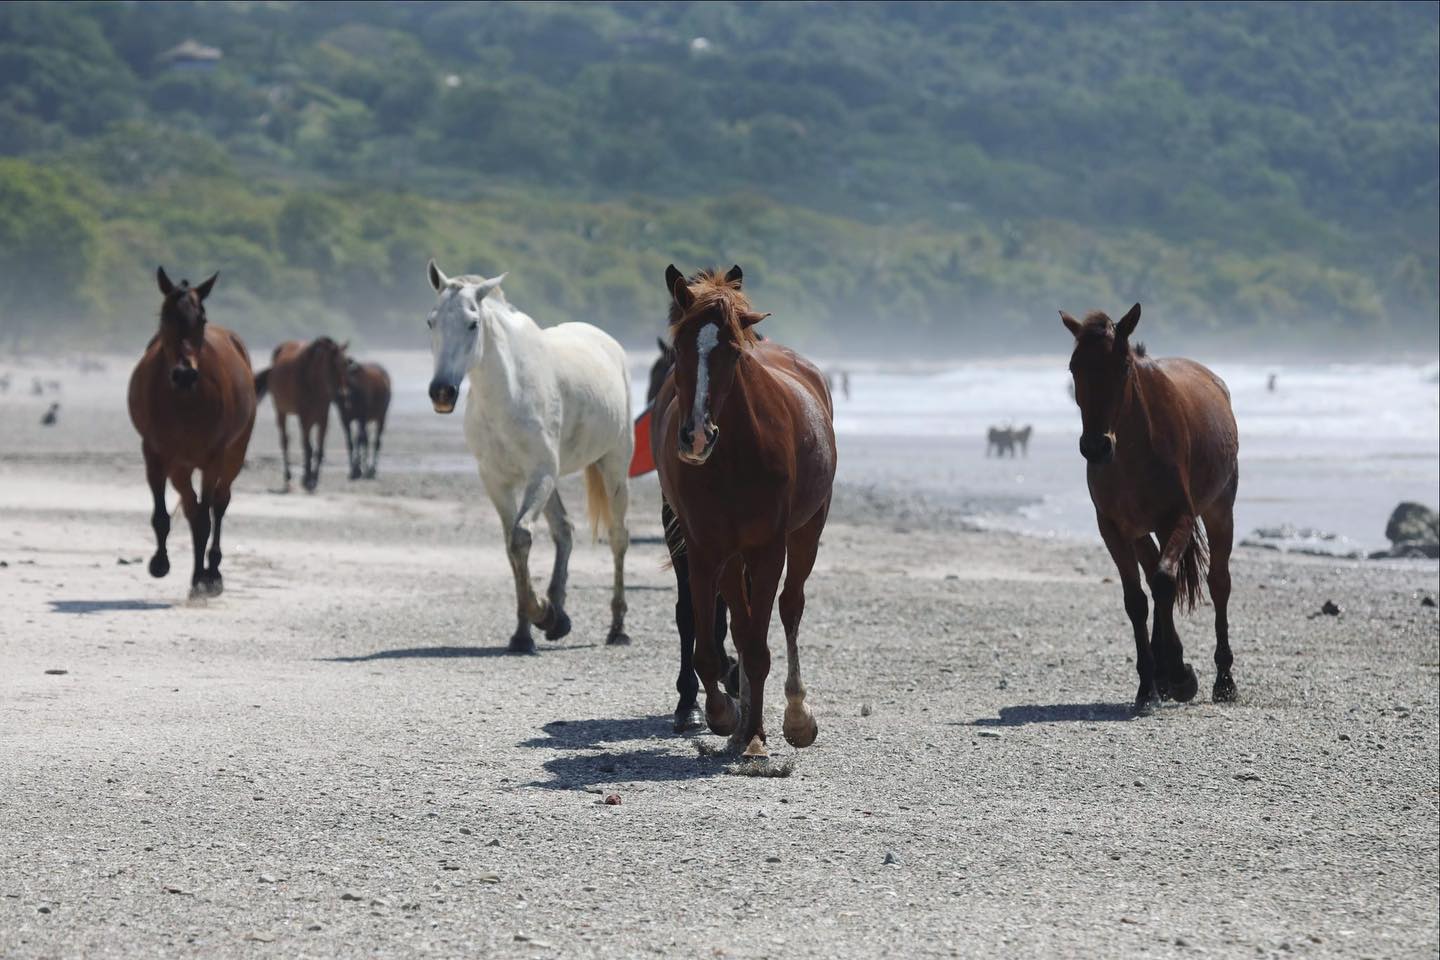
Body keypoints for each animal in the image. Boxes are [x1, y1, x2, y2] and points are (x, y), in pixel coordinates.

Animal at [127, 267, 256, 597]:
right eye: (165, 316)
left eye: (201, 319)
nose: (184, 374)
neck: (185, 399)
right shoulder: (156, 455)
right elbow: (164, 516)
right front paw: (160, 563)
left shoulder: (213, 458)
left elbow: (204, 520)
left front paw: (201, 578)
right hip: (180, 465)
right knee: (190, 503)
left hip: (234, 453)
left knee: (219, 504)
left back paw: (213, 571)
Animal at [253, 337, 350, 492]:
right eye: (332, 364)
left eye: (346, 364)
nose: (343, 395)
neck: (315, 383)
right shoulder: (305, 418)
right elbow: (308, 448)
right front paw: (308, 480)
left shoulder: (323, 419)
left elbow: (319, 450)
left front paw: (313, 479)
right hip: (281, 412)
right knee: (285, 440)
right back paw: (288, 477)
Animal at [425, 260, 633, 653]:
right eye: (431, 321)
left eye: (473, 323)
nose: (442, 392)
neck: (509, 392)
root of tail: (610, 344)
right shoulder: (498, 480)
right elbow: (512, 546)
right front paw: (528, 630)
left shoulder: (540, 474)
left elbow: (521, 537)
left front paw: (542, 614)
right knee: (564, 530)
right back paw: (560, 616)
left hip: (613, 465)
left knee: (618, 537)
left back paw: (617, 629)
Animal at [653, 265, 837, 756]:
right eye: (680, 349)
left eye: (733, 353)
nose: (697, 436)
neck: (734, 455)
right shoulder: (703, 547)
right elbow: (712, 642)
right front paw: (723, 715)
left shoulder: (769, 546)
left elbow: (757, 645)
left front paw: (756, 734)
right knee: (739, 622)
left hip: (807, 531)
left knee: (790, 607)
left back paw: (795, 714)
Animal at [1062, 303, 1239, 715]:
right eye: (1074, 367)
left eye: (1124, 366)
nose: (1096, 447)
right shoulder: (1112, 529)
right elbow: (1137, 600)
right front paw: (1149, 686)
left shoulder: (1180, 519)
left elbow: (1162, 583)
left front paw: (1177, 675)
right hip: (1142, 531)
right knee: (1156, 576)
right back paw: (1165, 671)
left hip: (1220, 509)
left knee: (1216, 583)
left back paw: (1222, 680)